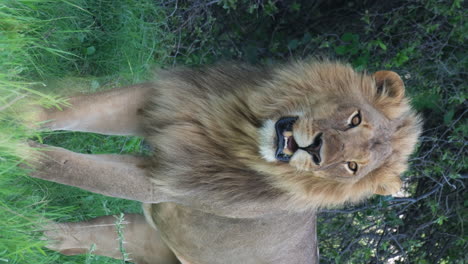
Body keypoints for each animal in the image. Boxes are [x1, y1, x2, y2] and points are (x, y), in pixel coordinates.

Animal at [24, 60, 420, 262]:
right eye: (355, 119)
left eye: (353, 167)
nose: (318, 151)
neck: (237, 132)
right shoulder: (154, 102)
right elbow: (65, 109)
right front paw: (16, 107)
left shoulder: (161, 182)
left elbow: (66, 165)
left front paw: (15, 148)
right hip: (146, 237)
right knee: (74, 237)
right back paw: (24, 226)